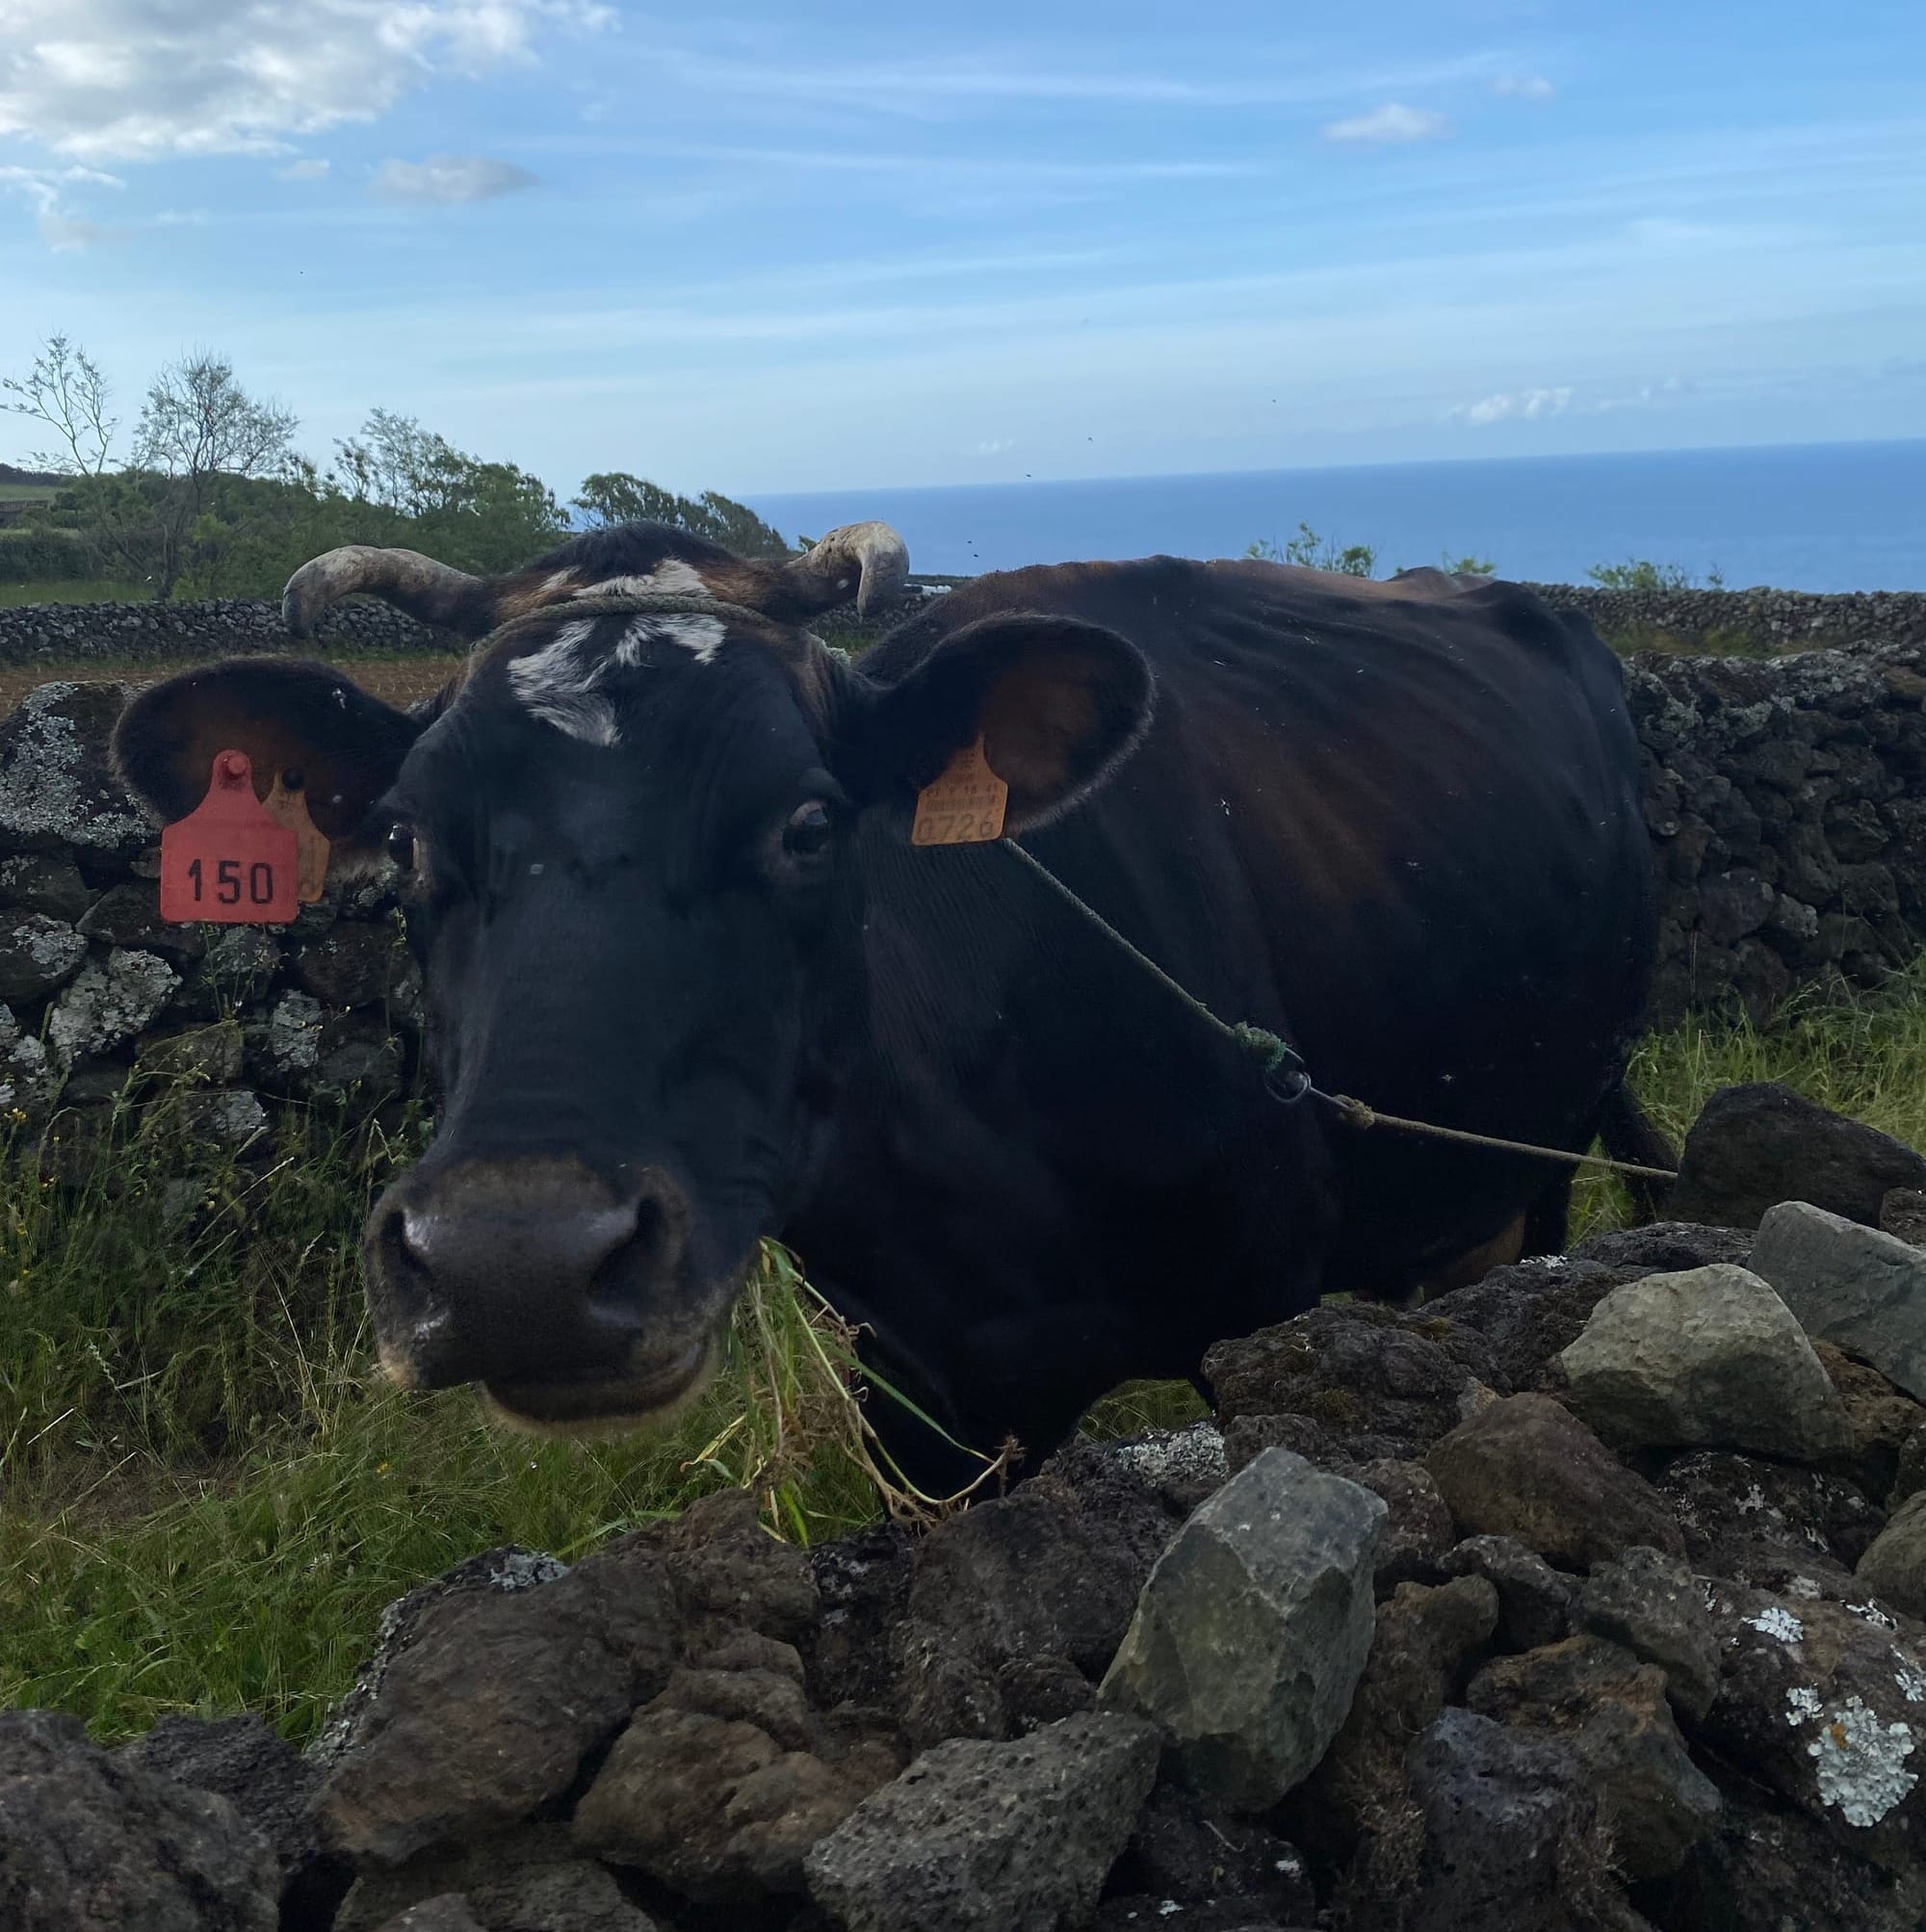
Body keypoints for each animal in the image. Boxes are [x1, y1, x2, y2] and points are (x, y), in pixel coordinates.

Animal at [112, 521, 1661, 1483]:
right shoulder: (915, 1392)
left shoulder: (1263, 1311)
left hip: (1555, 1128)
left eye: (809, 822)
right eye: (410, 839)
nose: (519, 1267)